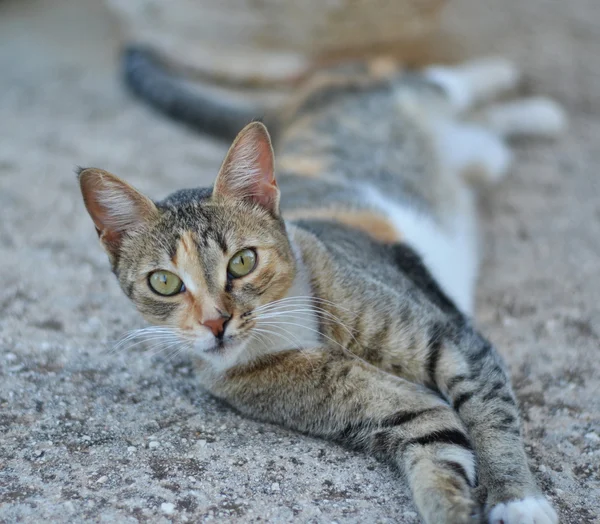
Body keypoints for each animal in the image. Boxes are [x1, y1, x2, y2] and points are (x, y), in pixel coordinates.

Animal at [77, 59, 564, 520]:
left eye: (242, 261)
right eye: (164, 283)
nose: (216, 322)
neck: (286, 326)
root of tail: (288, 108)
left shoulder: (451, 339)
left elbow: (490, 413)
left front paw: (517, 499)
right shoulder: (397, 412)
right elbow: (437, 444)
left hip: (399, 94)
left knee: (441, 80)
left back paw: (517, 87)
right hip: (479, 154)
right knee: (487, 135)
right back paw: (533, 113)